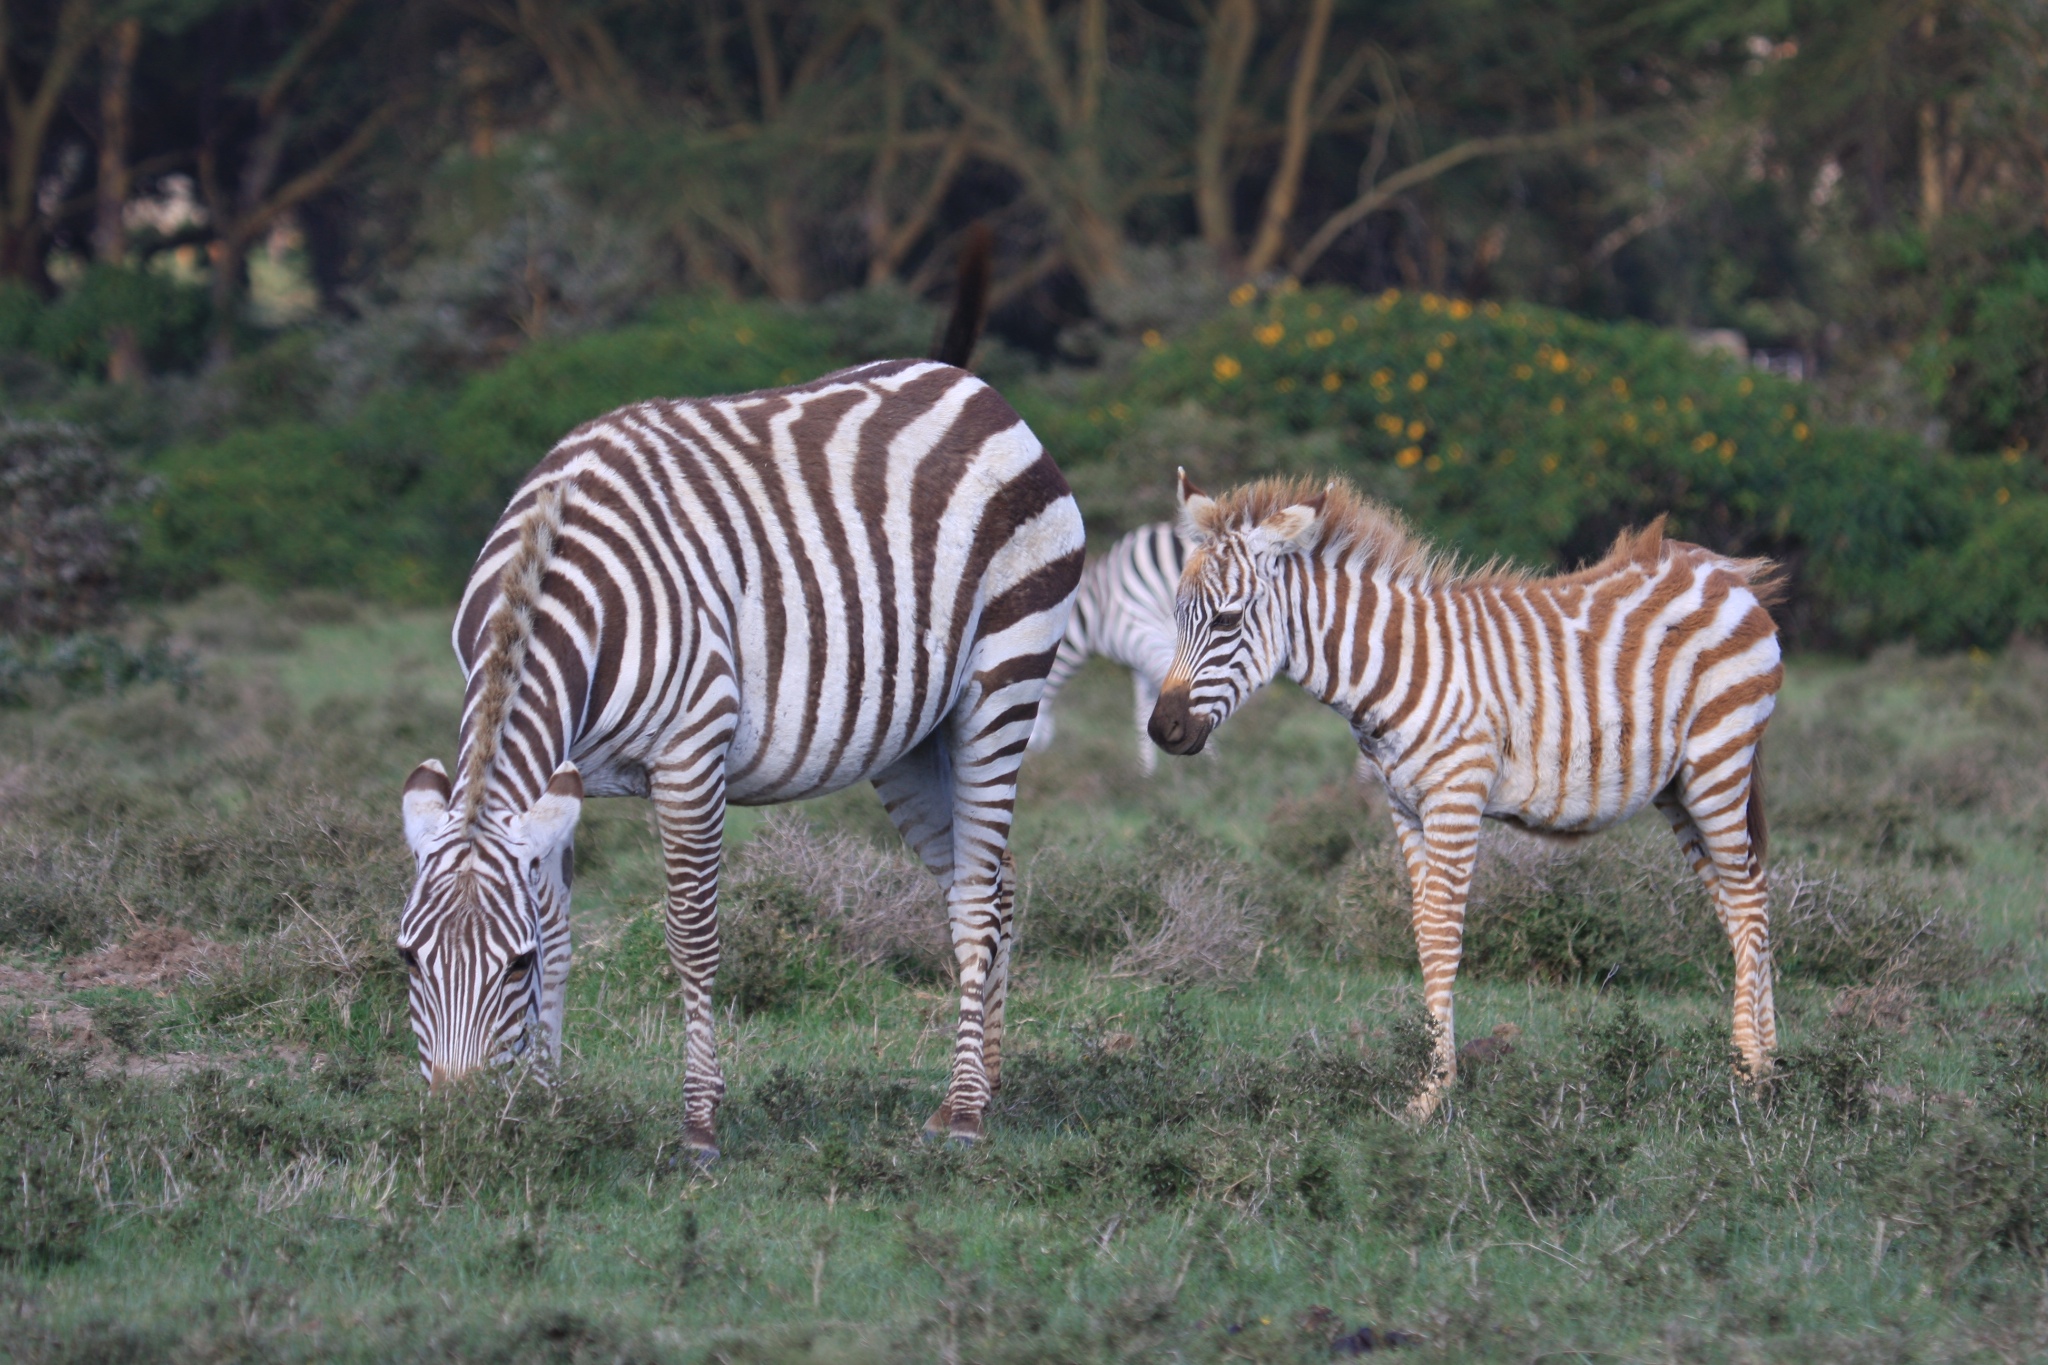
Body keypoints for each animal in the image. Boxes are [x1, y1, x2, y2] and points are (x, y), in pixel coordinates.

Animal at [389, 253, 1081, 1154]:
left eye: (512, 965)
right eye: (407, 957)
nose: (460, 1126)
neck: (547, 573)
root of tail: (973, 387)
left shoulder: (691, 752)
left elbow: (690, 935)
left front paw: (699, 1121)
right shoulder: (559, 777)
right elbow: (563, 925)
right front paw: (545, 1099)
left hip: (1004, 676)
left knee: (971, 897)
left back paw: (963, 1109)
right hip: (915, 739)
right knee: (990, 882)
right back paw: (988, 1082)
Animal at [1146, 474, 1785, 1113]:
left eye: (1228, 622)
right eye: (1178, 615)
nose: (1161, 730)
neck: (1390, 668)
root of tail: (1725, 570)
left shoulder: (1455, 797)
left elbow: (1441, 932)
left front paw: (1432, 1094)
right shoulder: (1404, 807)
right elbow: (1423, 934)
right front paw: (1433, 1079)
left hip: (1717, 761)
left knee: (1748, 898)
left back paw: (1749, 1076)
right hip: (1677, 788)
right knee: (1739, 901)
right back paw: (1772, 1066)